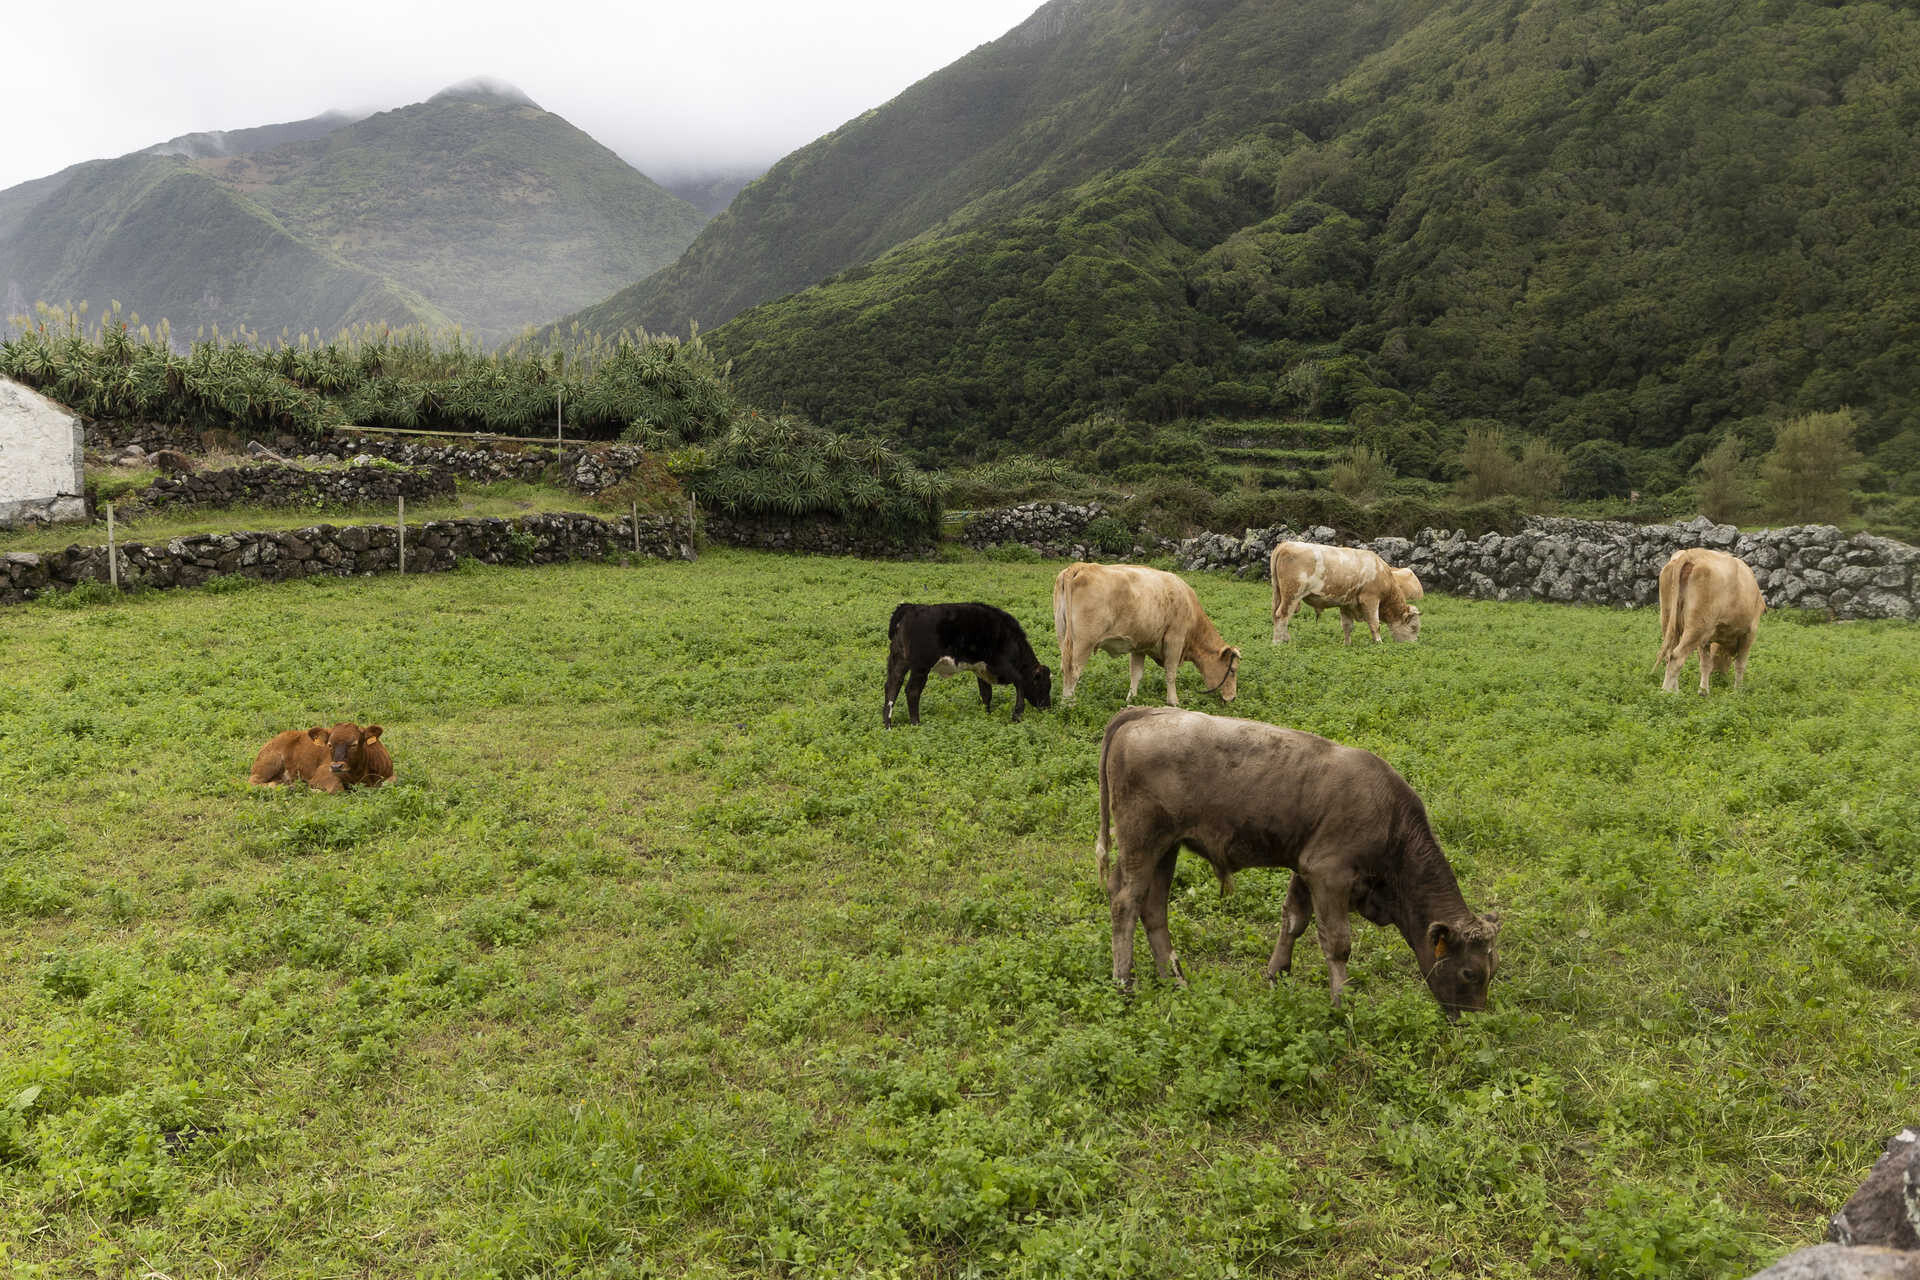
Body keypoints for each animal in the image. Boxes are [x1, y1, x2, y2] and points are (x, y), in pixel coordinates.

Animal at [879, 602, 1052, 729]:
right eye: (1044, 686)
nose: (1047, 708)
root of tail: (911, 607)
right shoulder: (1001, 665)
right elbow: (1020, 682)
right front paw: (1017, 715)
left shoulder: (981, 670)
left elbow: (986, 694)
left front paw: (987, 715)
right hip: (920, 667)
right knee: (912, 691)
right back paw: (916, 723)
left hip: (898, 661)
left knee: (892, 687)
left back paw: (888, 725)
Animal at [1052, 564, 1244, 706]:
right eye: (1232, 670)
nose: (1233, 697)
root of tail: (1081, 566)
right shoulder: (1175, 638)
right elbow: (1171, 673)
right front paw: (1173, 701)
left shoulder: (1139, 646)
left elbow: (1136, 674)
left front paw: (1132, 699)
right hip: (1083, 642)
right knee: (1073, 670)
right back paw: (1069, 704)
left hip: (1063, 636)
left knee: (1064, 667)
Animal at [1098, 706, 1497, 1013]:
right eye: (1470, 972)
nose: (1473, 1016)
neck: (1389, 819)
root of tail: (1146, 712)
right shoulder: (1329, 875)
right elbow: (1337, 943)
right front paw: (1343, 1004)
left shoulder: (1305, 870)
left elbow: (1294, 920)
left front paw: (1276, 974)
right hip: (1142, 843)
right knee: (1125, 903)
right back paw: (1124, 982)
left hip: (1165, 849)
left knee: (1153, 908)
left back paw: (1174, 979)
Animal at [1267, 545, 1420, 644]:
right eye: (1413, 628)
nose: (1413, 644)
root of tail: (1285, 545)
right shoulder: (1370, 599)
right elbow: (1375, 624)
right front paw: (1379, 643)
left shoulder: (1346, 604)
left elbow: (1347, 626)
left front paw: (1347, 644)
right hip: (1292, 594)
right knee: (1282, 615)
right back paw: (1279, 642)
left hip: (1278, 594)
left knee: (1276, 614)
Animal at [1658, 545, 1758, 694]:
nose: (1719, 676)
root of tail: (1692, 554)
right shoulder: (1750, 632)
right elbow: (1740, 665)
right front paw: (1738, 691)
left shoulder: (1706, 639)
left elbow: (1705, 664)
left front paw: (1703, 691)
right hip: (1697, 627)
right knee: (1676, 657)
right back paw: (1666, 694)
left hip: (1669, 619)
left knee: (1669, 654)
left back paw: (1676, 692)